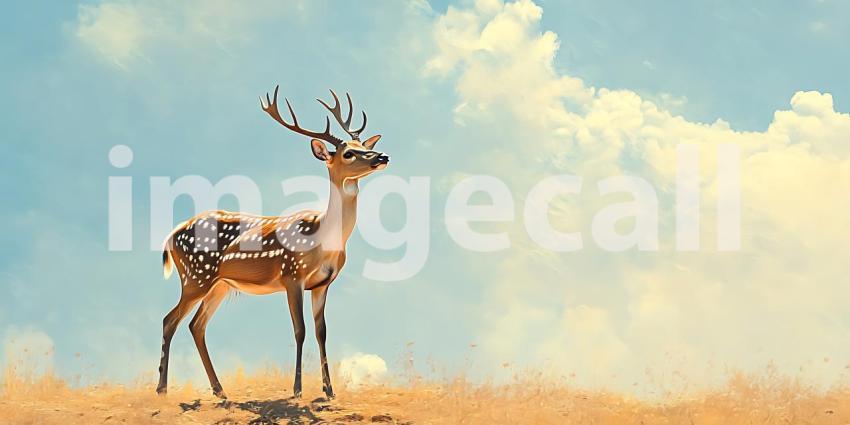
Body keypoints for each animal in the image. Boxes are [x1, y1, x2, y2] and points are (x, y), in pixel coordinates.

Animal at [156, 86, 388, 400]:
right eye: (349, 153)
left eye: (364, 143)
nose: (382, 156)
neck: (324, 239)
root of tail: (171, 236)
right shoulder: (292, 275)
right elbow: (300, 330)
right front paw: (297, 390)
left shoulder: (323, 284)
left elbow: (322, 332)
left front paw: (329, 391)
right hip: (195, 277)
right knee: (170, 320)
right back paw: (162, 389)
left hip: (218, 285)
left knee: (196, 325)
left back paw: (220, 391)